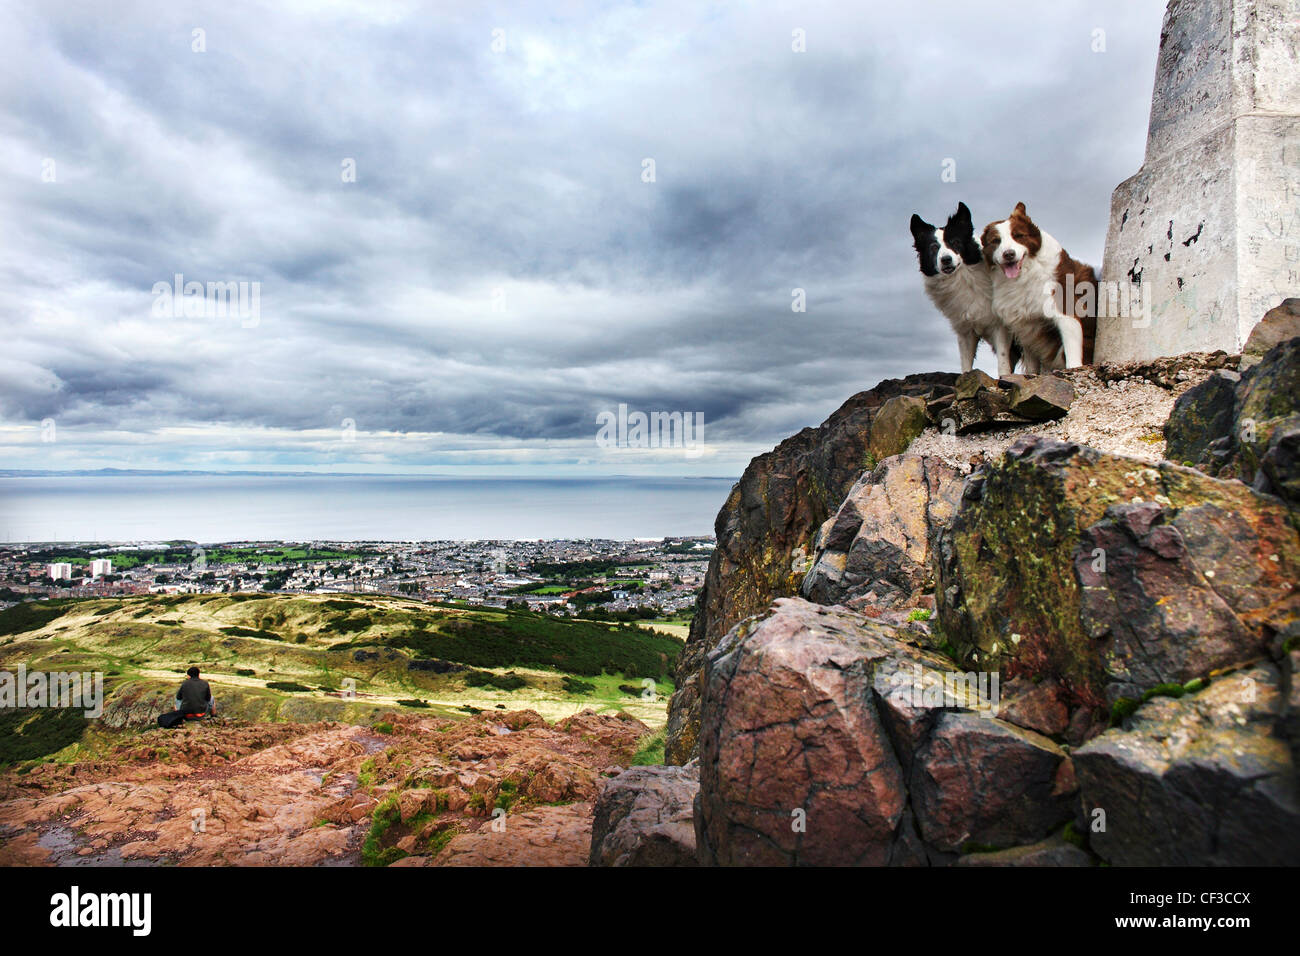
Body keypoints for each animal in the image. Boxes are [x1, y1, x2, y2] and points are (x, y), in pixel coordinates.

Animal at [909, 204, 1019, 374]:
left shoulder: (1000, 326)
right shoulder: (965, 330)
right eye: (933, 247)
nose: (946, 260)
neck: (963, 279)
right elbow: (966, 361)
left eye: (955, 242)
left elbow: (1003, 360)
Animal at [982, 204, 1097, 371]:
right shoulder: (1026, 325)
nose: (1009, 254)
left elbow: (1072, 355)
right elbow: (1023, 361)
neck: (1025, 274)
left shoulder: (1066, 313)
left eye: (1018, 235)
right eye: (996, 241)